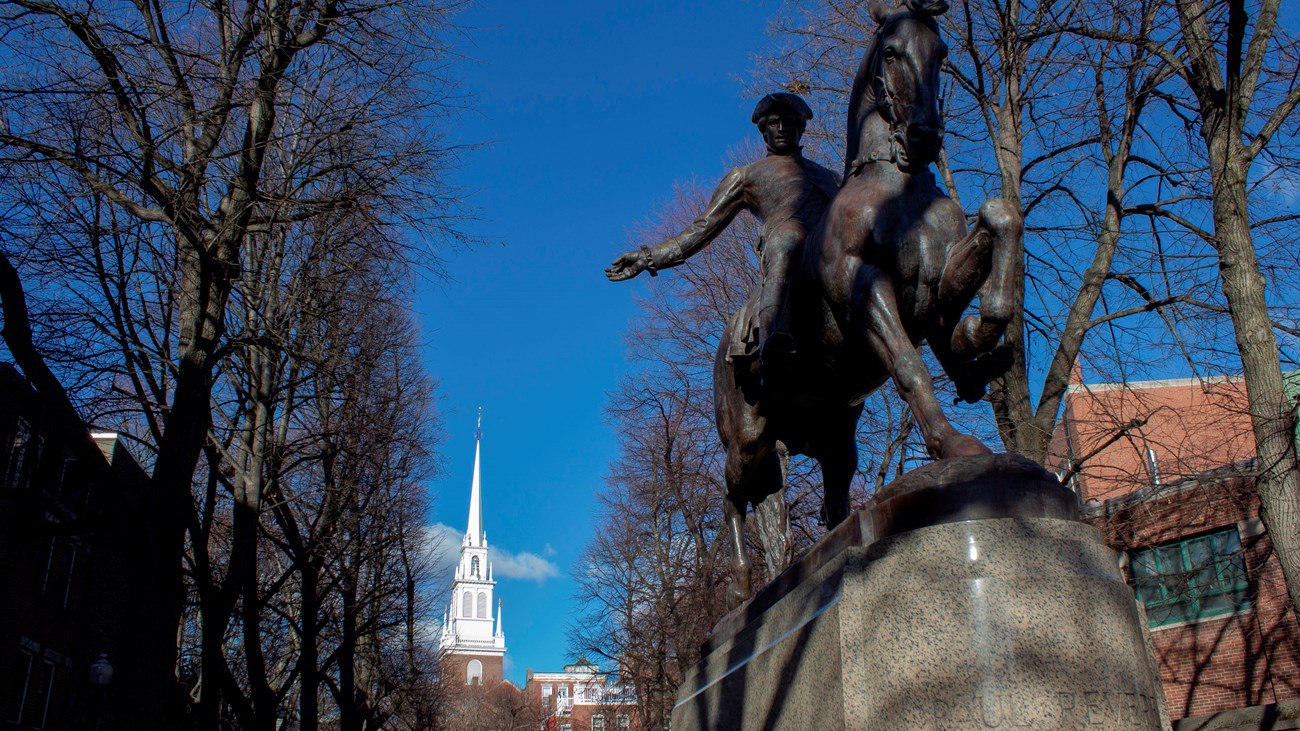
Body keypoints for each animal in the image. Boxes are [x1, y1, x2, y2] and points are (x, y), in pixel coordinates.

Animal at [717, 0, 1019, 600]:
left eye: (942, 53)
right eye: (892, 53)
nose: (924, 136)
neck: (897, 189)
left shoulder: (937, 287)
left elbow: (999, 215)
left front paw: (985, 335)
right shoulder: (864, 286)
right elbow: (909, 364)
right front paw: (953, 445)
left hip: (834, 439)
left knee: (828, 503)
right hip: (751, 438)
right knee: (732, 496)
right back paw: (741, 584)